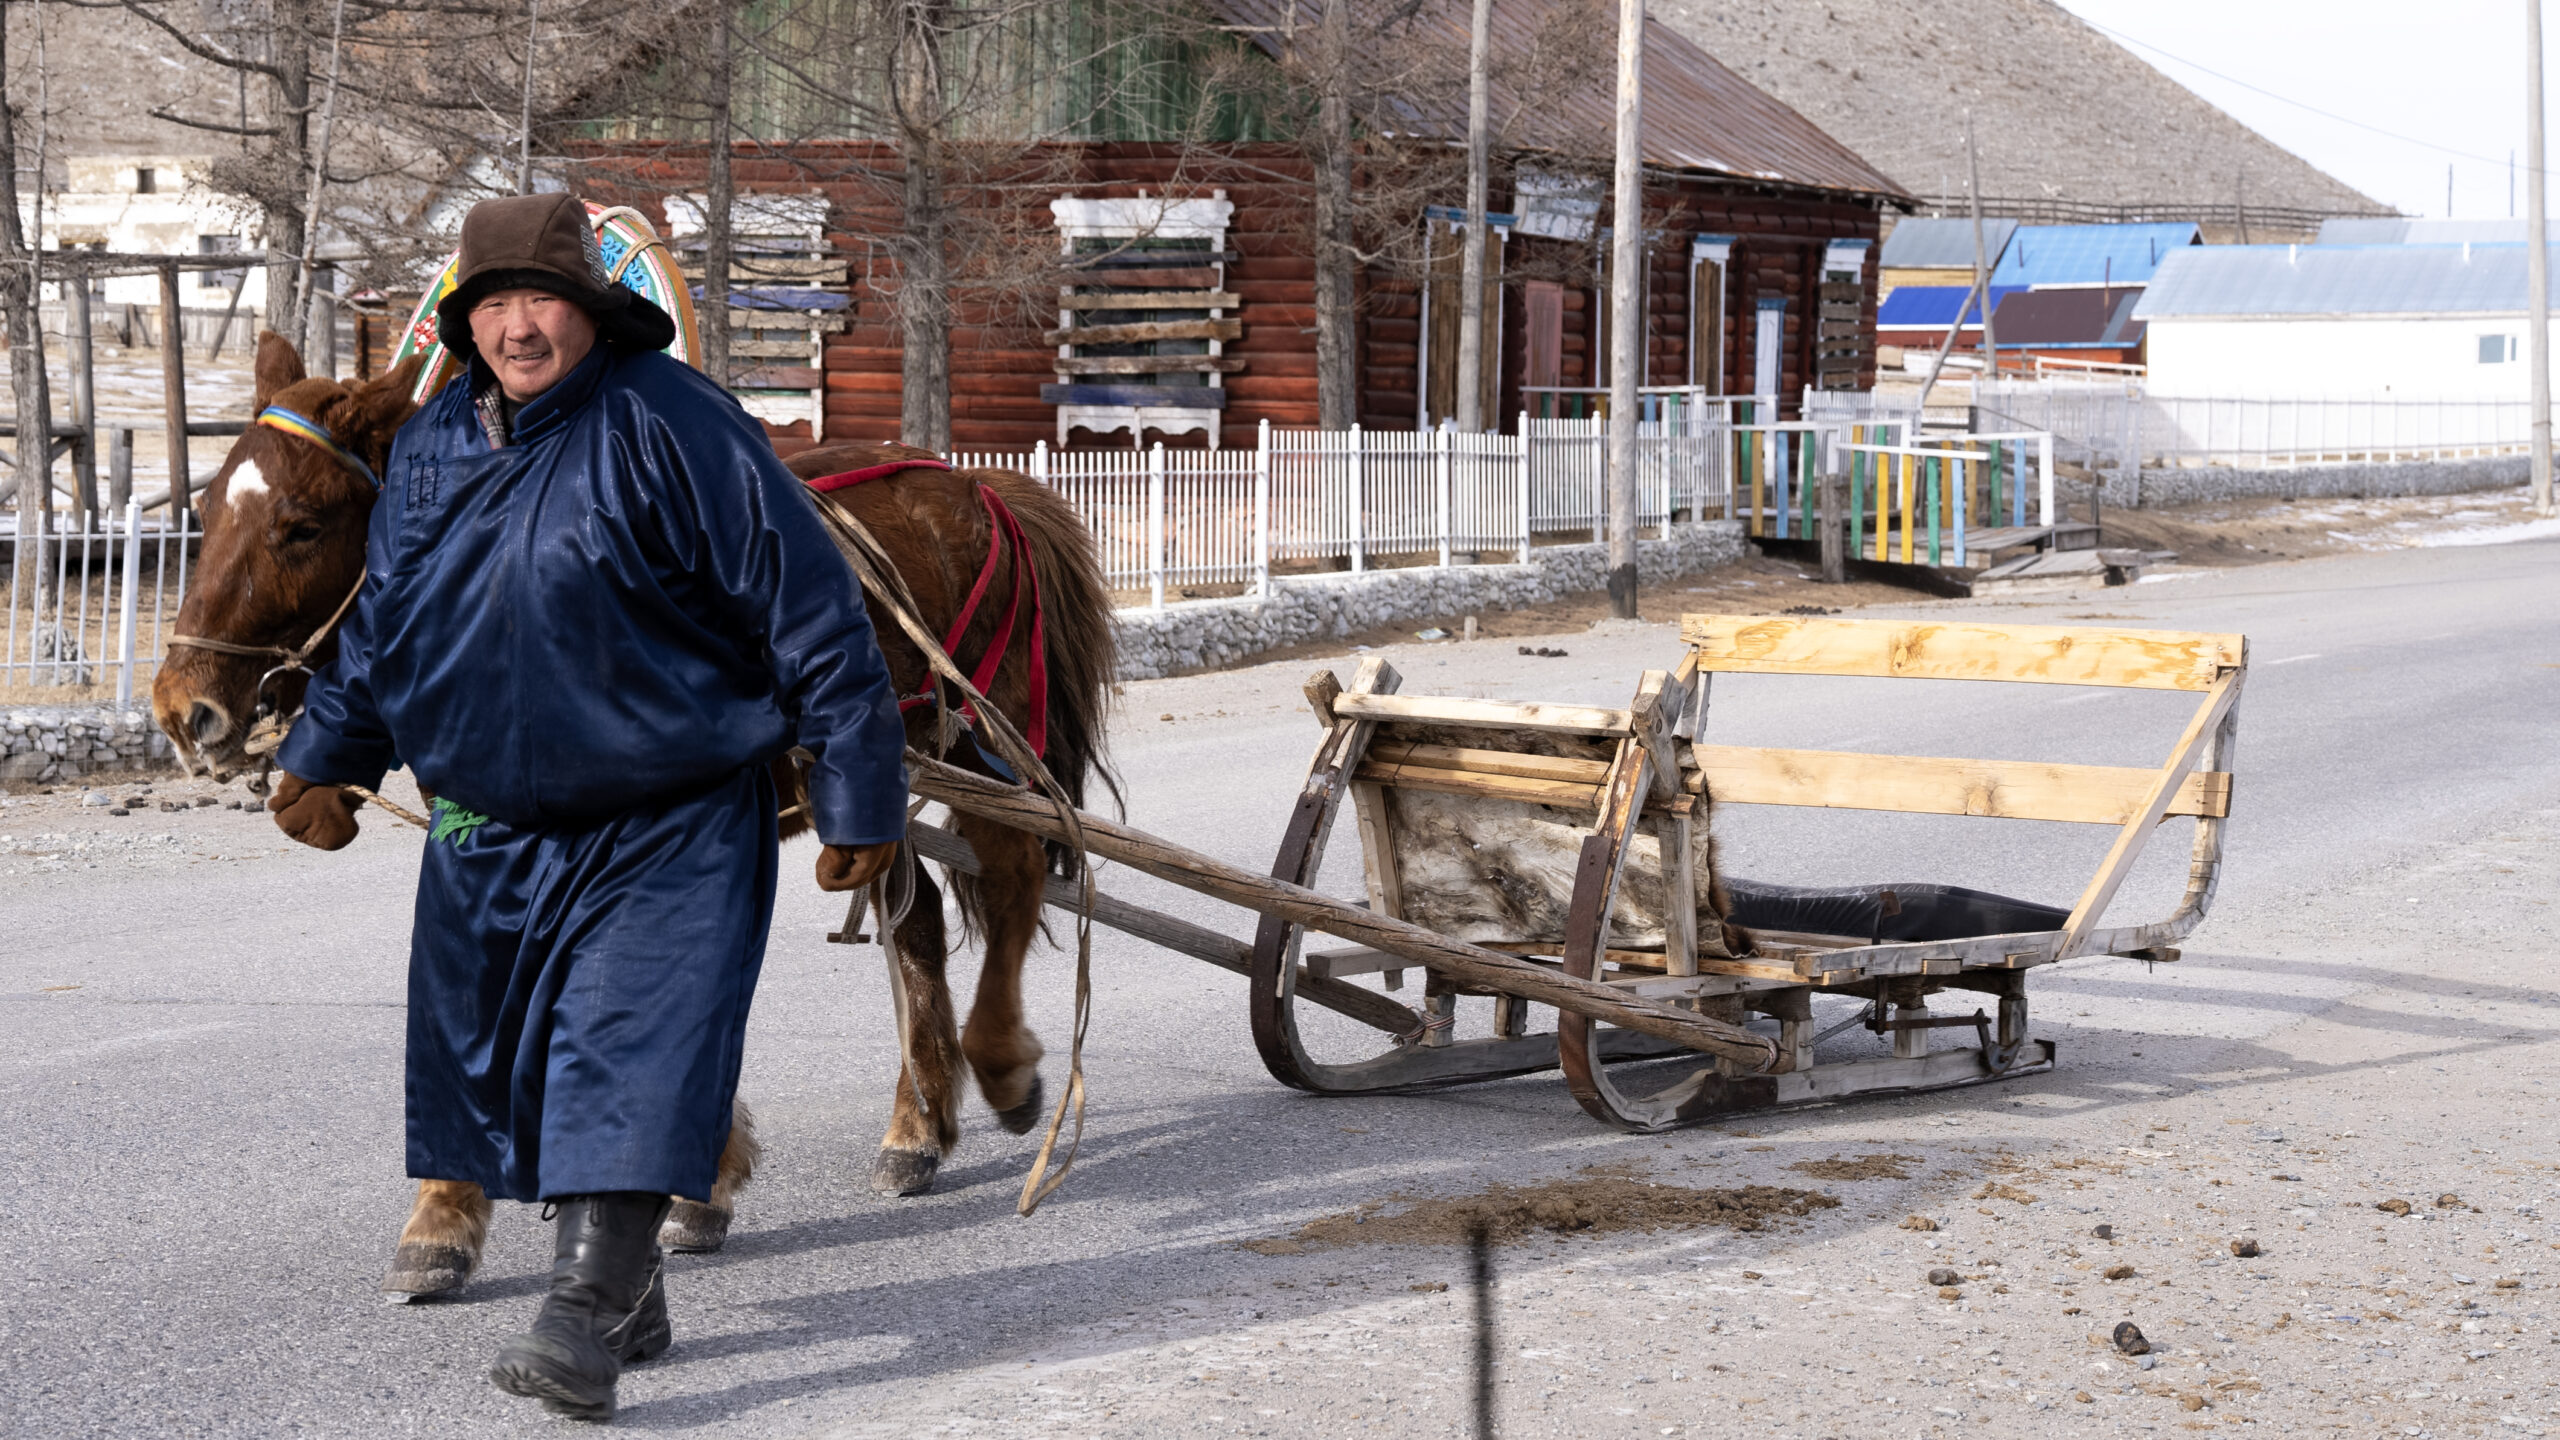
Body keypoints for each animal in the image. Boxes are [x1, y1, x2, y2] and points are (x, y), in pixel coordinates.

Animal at [157, 333, 1121, 1291]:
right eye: (203, 509)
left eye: (301, 526)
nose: (180, 707)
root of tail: (981, 489)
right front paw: (447, 1213)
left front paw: (687, 1180)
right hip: (878, 783)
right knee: (916, 927)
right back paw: (916, 1130)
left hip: (988, 745)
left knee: (1012, 875)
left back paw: (1002, 1061)